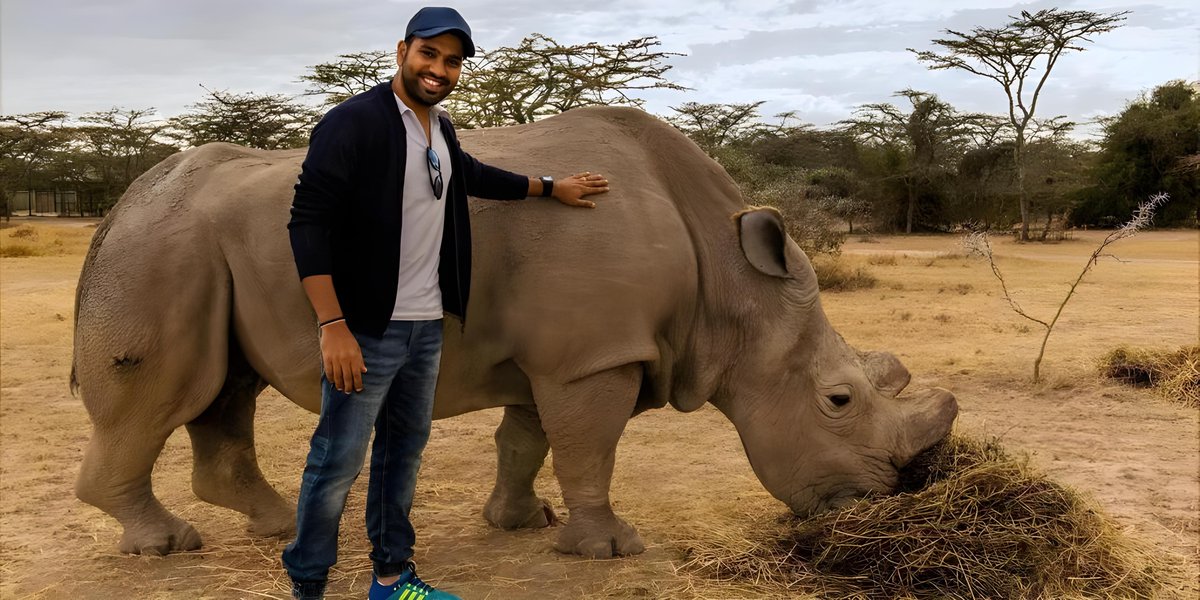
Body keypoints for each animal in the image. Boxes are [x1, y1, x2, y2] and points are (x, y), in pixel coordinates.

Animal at [71, 106, 957, 558]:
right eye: (838, 401)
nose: (892, 495)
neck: (734, 284)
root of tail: (121, 205)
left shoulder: (566, 353)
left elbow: (529, 441)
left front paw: (522, 523)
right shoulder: (593, 356)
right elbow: (589, 448)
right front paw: (611, 549)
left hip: (196, 251)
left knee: (224, 392)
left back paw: (281, 526)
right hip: (160, 251)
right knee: (165, 395)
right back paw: (167, 544)